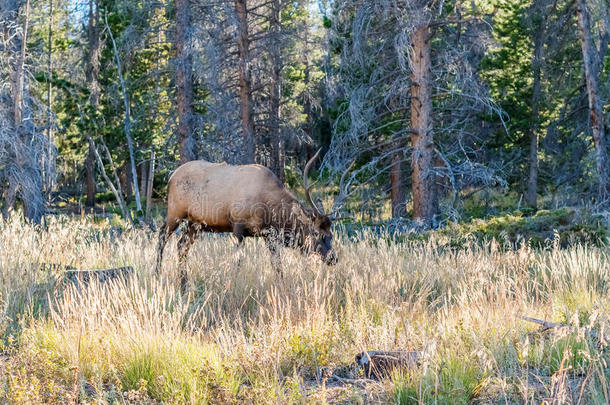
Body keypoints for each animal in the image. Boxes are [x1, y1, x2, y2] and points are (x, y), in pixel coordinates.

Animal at [154, 149, 346, 290]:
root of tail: (171, 177)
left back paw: (184, 284)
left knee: (182, 245)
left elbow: (277, 264)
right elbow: (238, 261)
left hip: (196, 223)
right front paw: (233, 285)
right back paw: (157, 274)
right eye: (316, 234)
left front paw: (281, 286)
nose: (333, 258)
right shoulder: (238, 226)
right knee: (162, 236)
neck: (269, 209)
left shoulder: (268, 235)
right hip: (175, 212)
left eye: (330, 235)